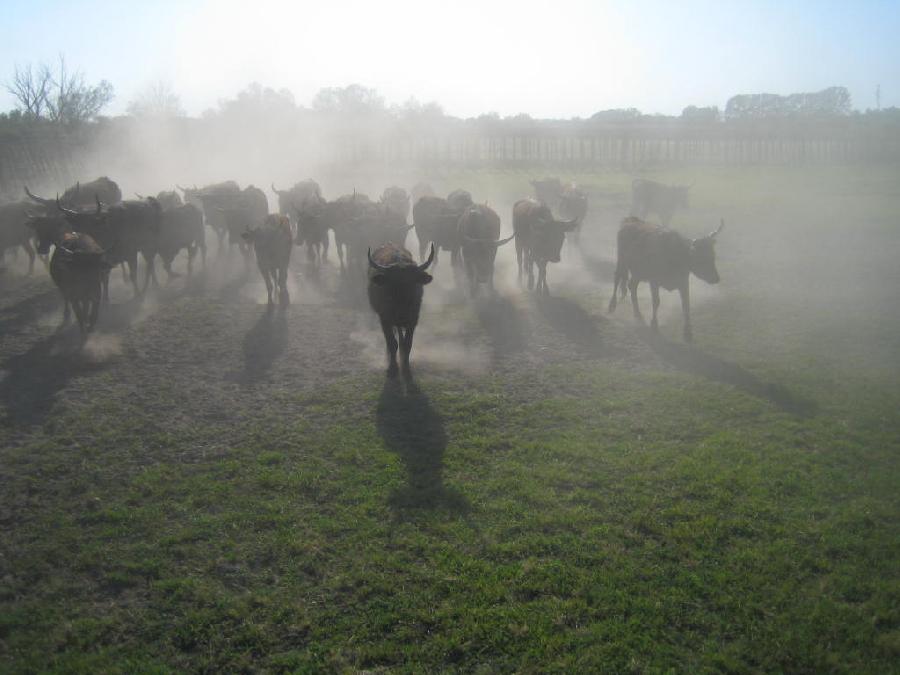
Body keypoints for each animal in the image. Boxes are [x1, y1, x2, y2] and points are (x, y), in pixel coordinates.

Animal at [368, 243, 434, 380]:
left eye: (412, 282)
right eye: (394, 282)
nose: (403, 301)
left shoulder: (413, 320)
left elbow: (408, 344)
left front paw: (405, 365)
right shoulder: (385, 320)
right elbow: (392, 343)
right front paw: (393, 366)